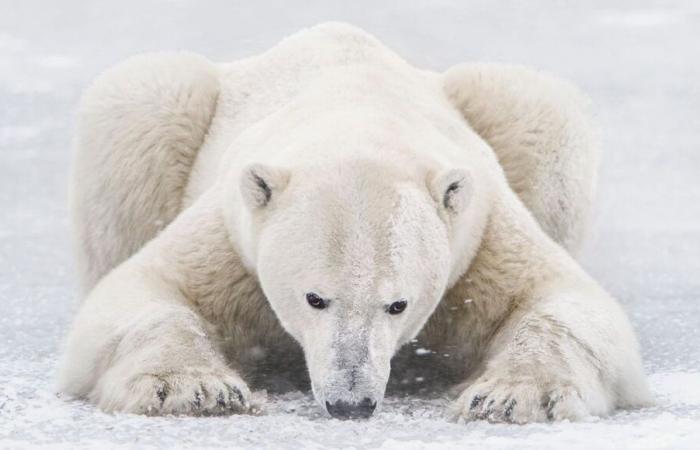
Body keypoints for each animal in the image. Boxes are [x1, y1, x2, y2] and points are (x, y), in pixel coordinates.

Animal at [58, 22, 652, 422]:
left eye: (399, 304)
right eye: (315, 298)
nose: (351, 402)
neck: (361, 122)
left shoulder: (477, 236)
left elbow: (561, 301)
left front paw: (513, 396)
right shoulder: (234, 231)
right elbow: (141, 291)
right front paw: (195, 390)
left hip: (516, 113)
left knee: (539, 110)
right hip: (160, 114)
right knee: (142, 104)